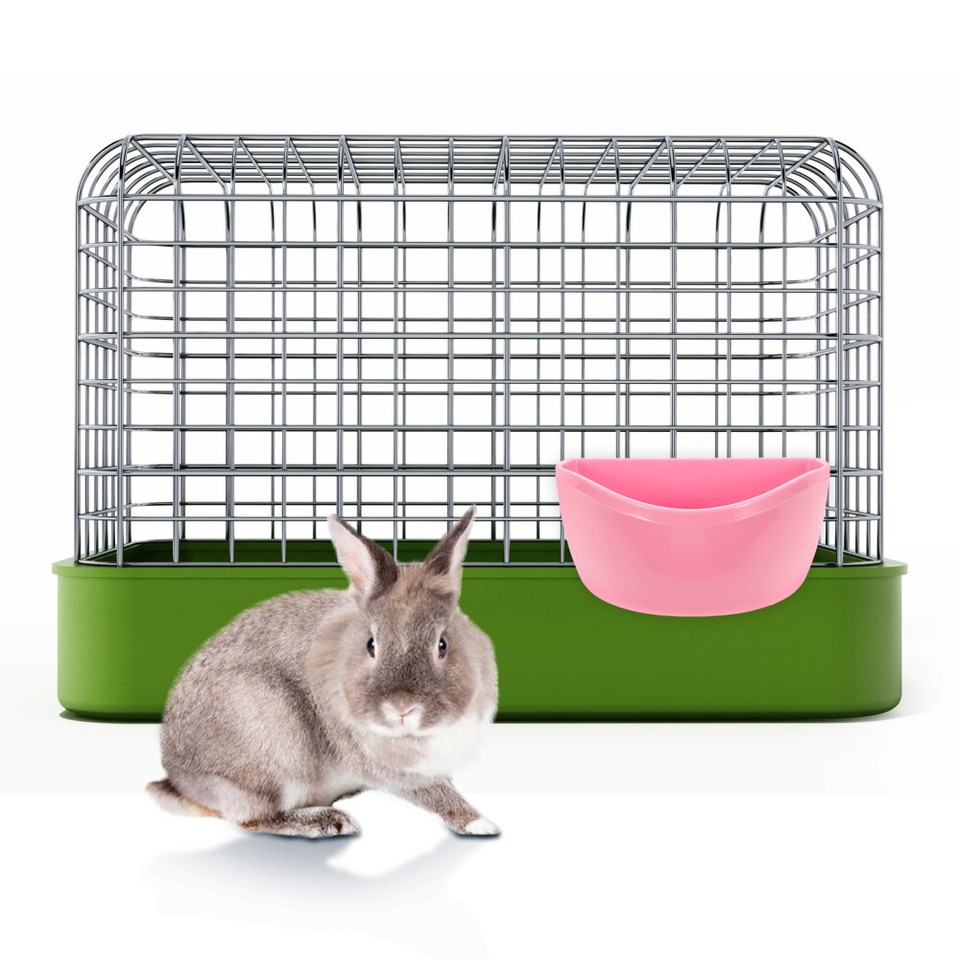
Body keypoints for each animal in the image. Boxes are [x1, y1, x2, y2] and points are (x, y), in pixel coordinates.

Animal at [146, 506, 499, 838]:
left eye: (442, 644)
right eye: (371, 644)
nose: (402, 708)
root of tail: (181, 780)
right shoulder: (385, 765)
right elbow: (432, 791)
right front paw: (481, 824)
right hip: (271, 740)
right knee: (252, 817)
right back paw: (329, 821)